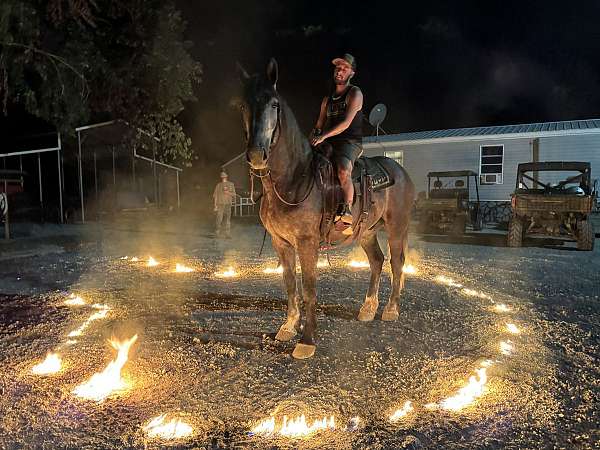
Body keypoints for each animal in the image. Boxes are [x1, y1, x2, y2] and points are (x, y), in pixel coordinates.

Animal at [237, 59, 414, 358]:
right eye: (243, 105)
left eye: (274, 104)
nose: (257, 155)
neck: (295, 178)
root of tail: (400, 170)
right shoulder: (281, 242)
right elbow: (290, 284)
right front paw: (288, 327)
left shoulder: (307, 243)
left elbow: (309, 289)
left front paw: (307, 341)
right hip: (367, 231)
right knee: (377, 261)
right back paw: (368, 309)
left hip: (396, 229)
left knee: (397, 263)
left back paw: (390, 310)